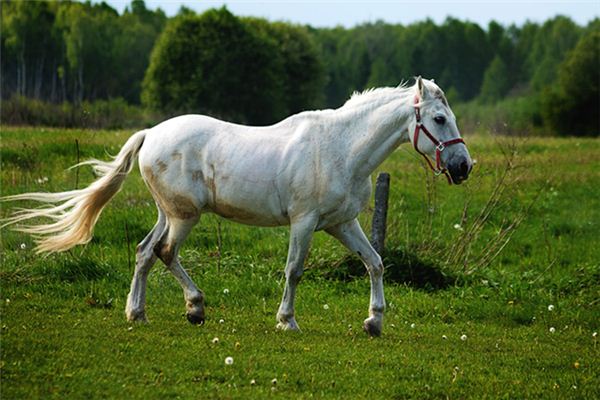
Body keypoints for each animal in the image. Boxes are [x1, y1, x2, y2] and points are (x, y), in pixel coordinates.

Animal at [4, 76, 474, 336]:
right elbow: (294, 270)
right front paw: (287, 321)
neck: (340, 148)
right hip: (185, 216)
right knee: (164, 252)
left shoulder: (342, 223)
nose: (463, 166)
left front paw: (374, 322)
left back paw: (137, 313)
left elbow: (374, 263)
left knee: (144, 253)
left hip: (168, 213)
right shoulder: (304, 222)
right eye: (438, 119)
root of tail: (151, 133)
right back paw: (194, 308)